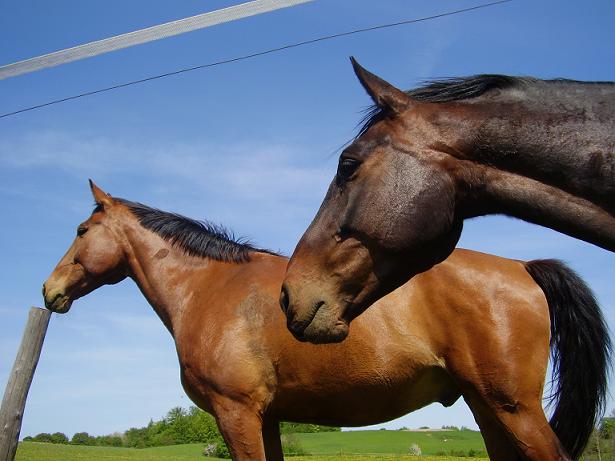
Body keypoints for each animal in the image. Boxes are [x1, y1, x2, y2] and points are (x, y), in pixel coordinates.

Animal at [43, 181, 612, 458]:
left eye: (81, 230)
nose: (50, 291)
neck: (211, 289)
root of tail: (523, 267)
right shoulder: (266, 417)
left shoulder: (237, 414)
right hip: (488, 407)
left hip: (515, 408)